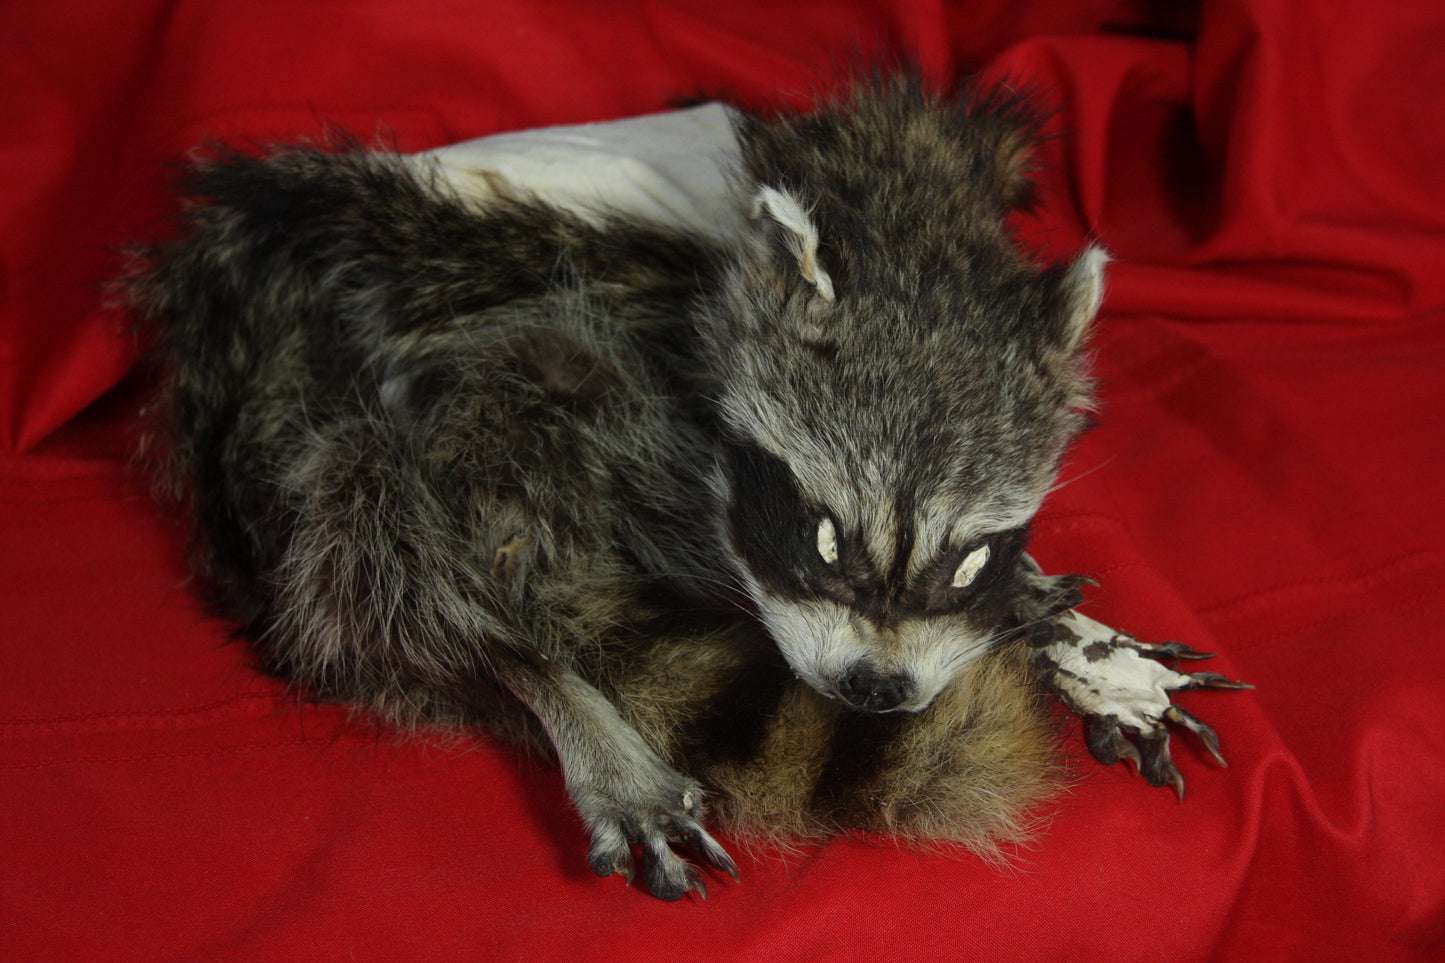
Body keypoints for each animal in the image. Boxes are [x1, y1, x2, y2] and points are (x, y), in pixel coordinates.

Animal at [126, 76, 1244, 901]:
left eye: (968, 555)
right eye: (822, 536)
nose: (873, 690)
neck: (899, 231)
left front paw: (1059, 623)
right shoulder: (598, 340)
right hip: (355, 357)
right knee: (379, 533)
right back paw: (534, 668)